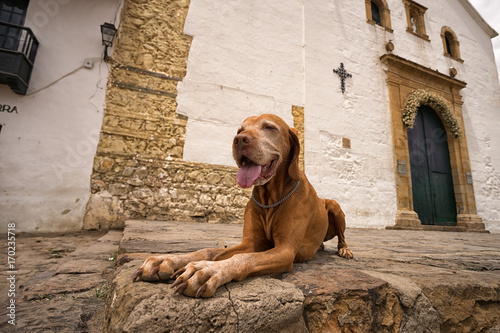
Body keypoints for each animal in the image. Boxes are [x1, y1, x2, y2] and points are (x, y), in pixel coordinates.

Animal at [132, 113, 352, 296]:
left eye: (269, 127)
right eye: (240, 130)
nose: (239, 140)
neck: (271, 198)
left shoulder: (285, 250)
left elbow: (244, 259)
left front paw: (207, 270)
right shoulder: (251, 243)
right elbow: (209, 251)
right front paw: (168, 260)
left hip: (334, 206)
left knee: (341, 236)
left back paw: (345, 250)